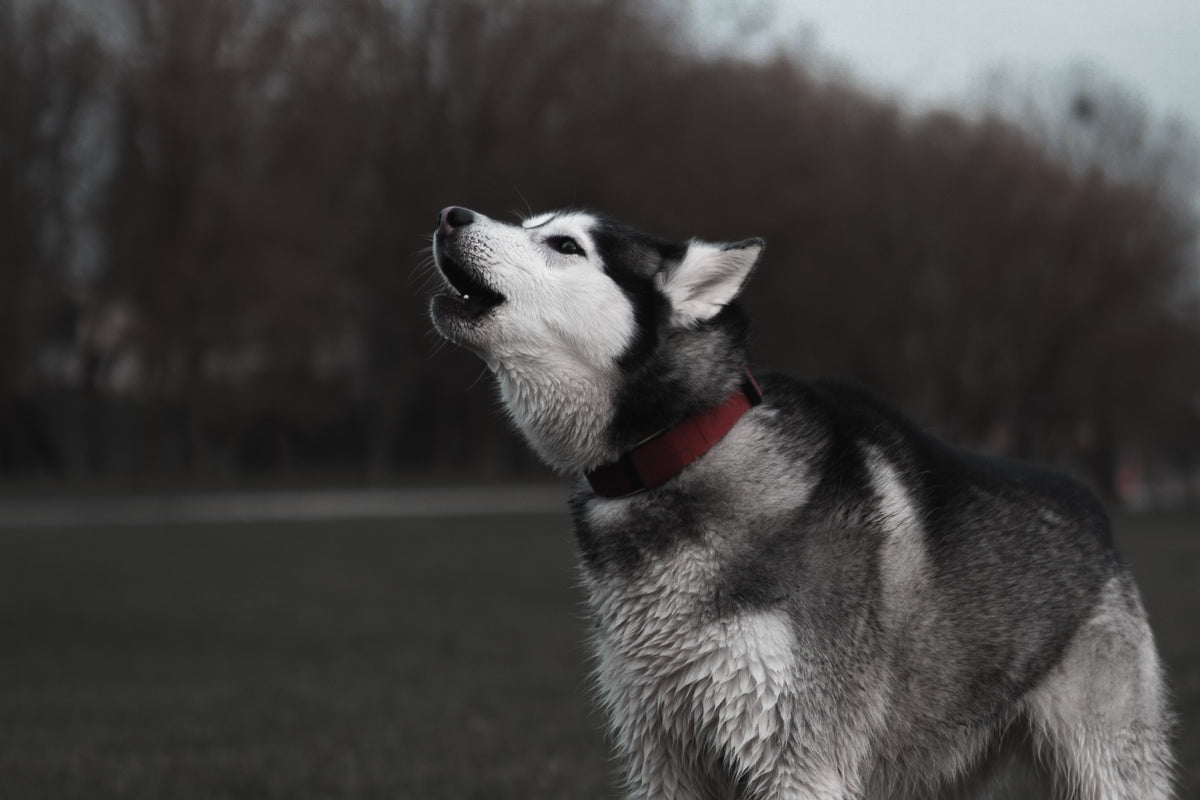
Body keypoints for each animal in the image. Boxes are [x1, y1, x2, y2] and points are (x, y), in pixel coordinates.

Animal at [429, 208, 1171, 800]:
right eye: (532, 224)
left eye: (565, 245)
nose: (451, 215)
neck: (679, 454)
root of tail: (1086, 498)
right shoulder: (663, 755)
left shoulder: (797, 759)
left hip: (1107, 762)